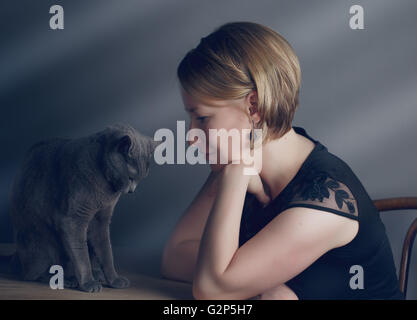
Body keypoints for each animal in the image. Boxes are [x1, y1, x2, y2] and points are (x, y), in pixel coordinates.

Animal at [10, 123, 159, 292]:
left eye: (141, 179)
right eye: (131, 178)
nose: (132, 190)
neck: (107, 190)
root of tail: (16, 258)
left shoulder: (102, 220)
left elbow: (106, 252)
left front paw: (114, 280)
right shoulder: (73, 219)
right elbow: (81, 254)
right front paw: (88, 283)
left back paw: (95, 274)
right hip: (42, 242)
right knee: (33, 274)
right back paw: (67, 280)